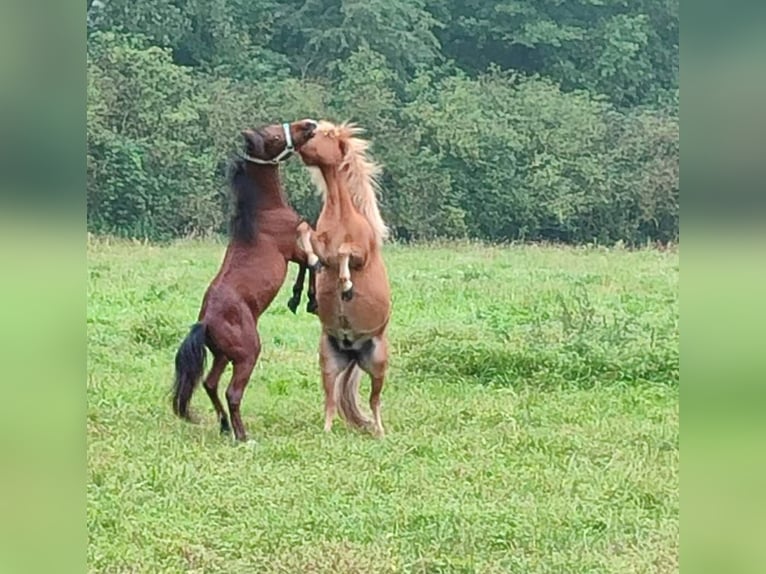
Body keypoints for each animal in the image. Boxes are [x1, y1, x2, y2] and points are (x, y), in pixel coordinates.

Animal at [172, 119, 316, 444]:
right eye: (273, 136)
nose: (309, 125)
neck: (265, 212)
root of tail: (205, 323)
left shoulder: (295, 253)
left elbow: (308, 266)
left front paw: (296, 298)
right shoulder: (294, 249)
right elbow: (314, 262)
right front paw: (307, 300)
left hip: (224, 355)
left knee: (210, 383)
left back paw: (225, 426)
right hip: (247, 354)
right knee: (232, 392)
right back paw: (243, 436)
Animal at [296, 120, 392, 436]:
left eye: (327, 134)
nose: (303, 137)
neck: (341, 216)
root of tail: (353, 351)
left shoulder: (361, 254)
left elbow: (345, 252)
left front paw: (347, 285)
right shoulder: (321, 244)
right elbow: (305, 233)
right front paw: (313, 271)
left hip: (378, 364)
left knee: (375, 401)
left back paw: (380, 432)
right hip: (328, 362)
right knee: (330, 401)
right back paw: (326, 432)